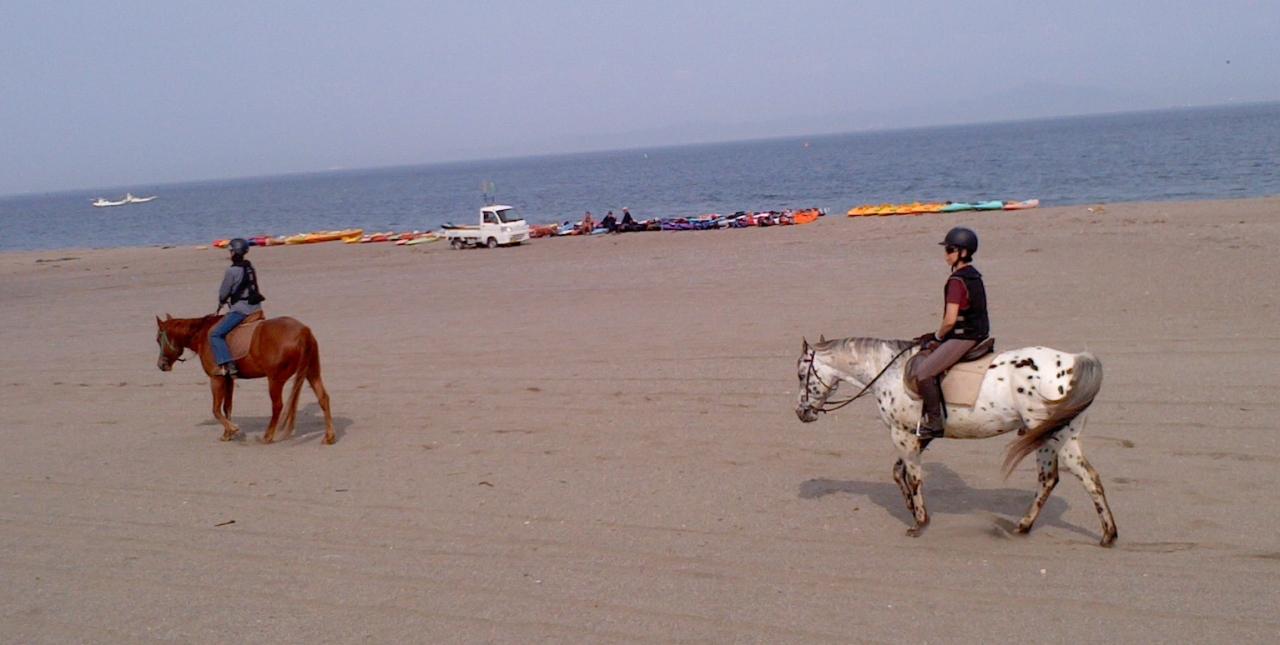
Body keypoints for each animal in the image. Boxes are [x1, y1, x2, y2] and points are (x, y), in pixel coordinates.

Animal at [155, 314, 337, 445]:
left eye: (158, 339)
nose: (161, 365)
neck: (202, 333)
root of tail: (303, 331)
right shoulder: (228, 379)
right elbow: (227, 407)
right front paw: (227, 433)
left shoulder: (216, 378)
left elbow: (216, 409)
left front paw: (233, 429)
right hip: (311, 372)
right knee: (323, 398)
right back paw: (329, 436)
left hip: (275, 380)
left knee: (277, 406)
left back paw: (268, 436)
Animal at [793, 335, 1116, 547]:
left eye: (800, 374)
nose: (801, 412)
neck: (889, 372)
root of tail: (1073, 361)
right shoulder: (918, 435)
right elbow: (899, 472)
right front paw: (910, 508)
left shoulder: (902, 434)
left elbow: (914, 477)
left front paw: (919, 521)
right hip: (1050, 437)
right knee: (1050, 479)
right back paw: (1024, 527)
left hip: (1055, 435)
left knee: (1087, 477)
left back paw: (1107, 535)